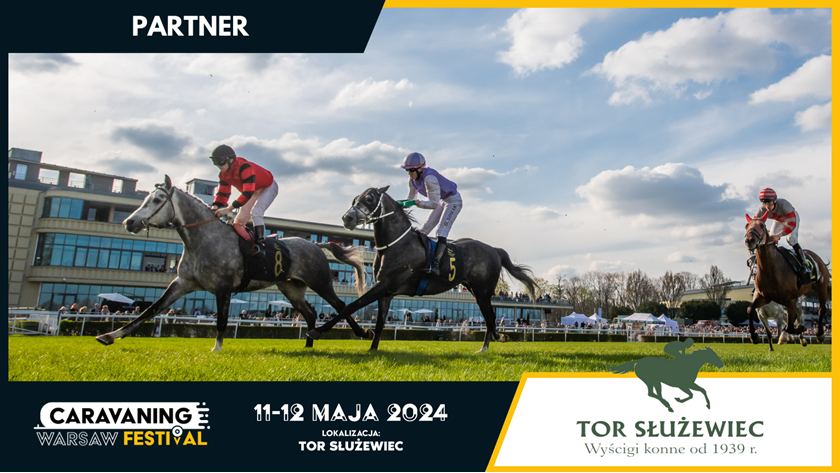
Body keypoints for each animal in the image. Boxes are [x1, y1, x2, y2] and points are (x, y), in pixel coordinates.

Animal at [94, 175, 370, 351]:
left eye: (155, 200)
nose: (128, 222)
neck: (203, 240)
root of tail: (315, 245)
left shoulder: (223, 286)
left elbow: (222, 319)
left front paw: (216, 350)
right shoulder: (181, 283)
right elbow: (151, 309)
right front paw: (109, 335)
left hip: (320, 281)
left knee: (341, 305)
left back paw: (361, 333)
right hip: (291, 288)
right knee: (311, 313)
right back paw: (308, 344)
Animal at [306, 186, 539, 352]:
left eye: (369, 198)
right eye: (354, 199)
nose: (347, 218)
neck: (395, 244)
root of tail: (494, 249)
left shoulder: (384, 285)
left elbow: (351, 306)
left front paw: (317, 332)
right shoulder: (386, 293)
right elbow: (380, 322)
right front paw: (372, 347)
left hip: (483, 292)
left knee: (490, 317)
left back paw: (490, 344)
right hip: (476, 291)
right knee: (489, 317)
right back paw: (488, 344)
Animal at [744, 212, 830, 352]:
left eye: (762, 225)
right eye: (747, 226)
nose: (750, 241)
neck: (771, 270)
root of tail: (817, 258)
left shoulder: (790, 301)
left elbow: (788, 326)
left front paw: (790, 334)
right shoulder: (764, 298)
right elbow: (749, 310)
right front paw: (754, 336)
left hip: (821, 287)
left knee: (820, 310)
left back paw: (818, 334)